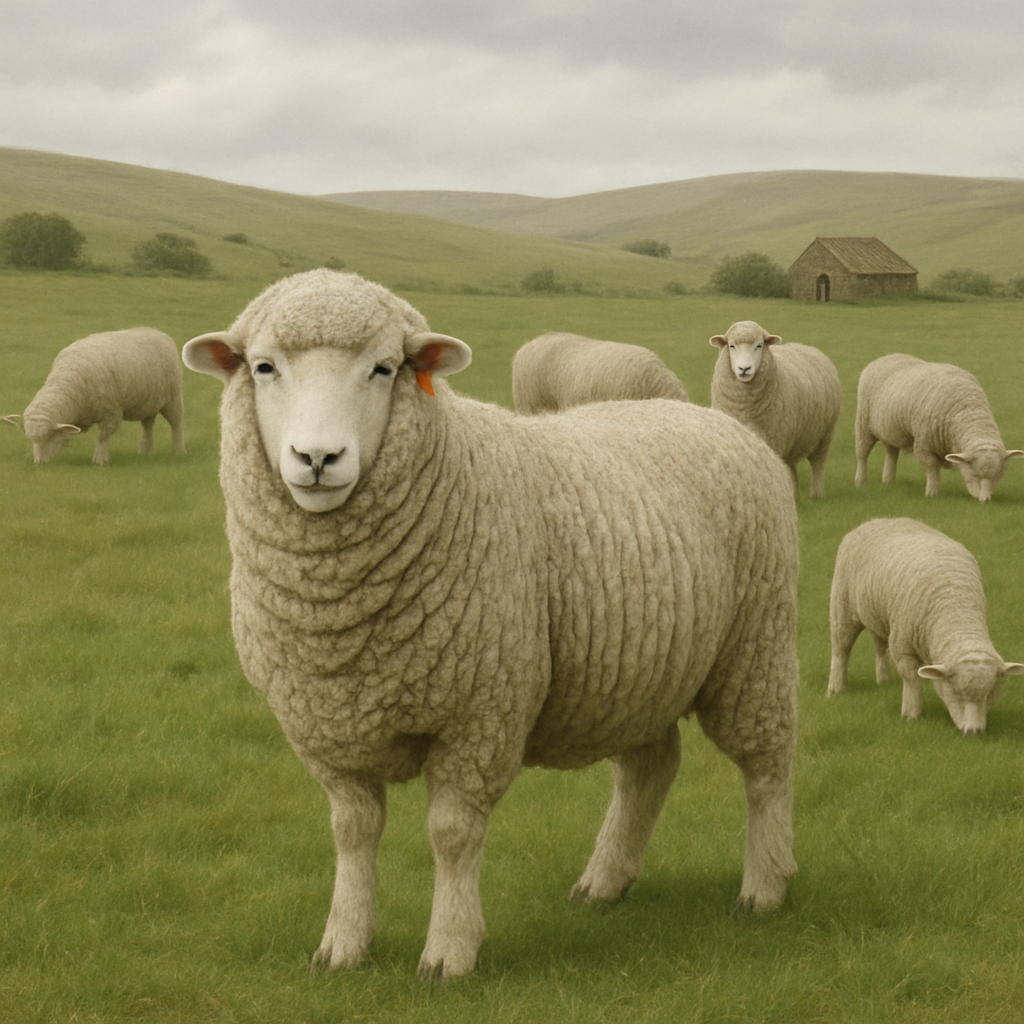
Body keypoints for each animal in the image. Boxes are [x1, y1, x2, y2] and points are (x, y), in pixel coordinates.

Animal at [3, 327, 186, 464]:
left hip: (173, 397)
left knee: (176, 423)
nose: (39, 463)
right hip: (148, 402)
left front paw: (100, 459)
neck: (67, 381)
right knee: (147, 425)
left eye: (51, 436)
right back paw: (145, 451)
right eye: (31, 440)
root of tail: (158, 332)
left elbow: (103, 436)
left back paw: (178, 451)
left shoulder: (112, 413)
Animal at [709, 321, 841, 498]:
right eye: (731, 346)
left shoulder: (775, 440)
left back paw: (816, 494)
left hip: (825, 434)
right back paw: (794, 493)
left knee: (817, 463)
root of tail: (808, 347)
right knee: (790, 464)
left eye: (759, 346)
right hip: (792, 438)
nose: (744, 369)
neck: (744, 408)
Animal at [827, 517, 1024, 735]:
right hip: (842, 607)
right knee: (841, 649)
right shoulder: (903, 648)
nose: (974, 732)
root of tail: (879, 520)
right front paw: (911, 715)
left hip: (879, 616)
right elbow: (912, 680)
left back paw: (884, 680)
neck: (955, 606)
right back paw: (835, 688)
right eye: (955, 692)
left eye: (991, 693)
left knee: (879, 646)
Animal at [854, 353, 1023, 501]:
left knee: (891, 454)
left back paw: (888, 481)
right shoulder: (924, 444)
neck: (968, 408)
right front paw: (932, 493)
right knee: (862, 453)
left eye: (998, 476)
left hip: (891, 431)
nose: (984, 500)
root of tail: (886, 357)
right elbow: (932, 468)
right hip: (863, 423)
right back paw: (860, 482)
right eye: (975, 475)